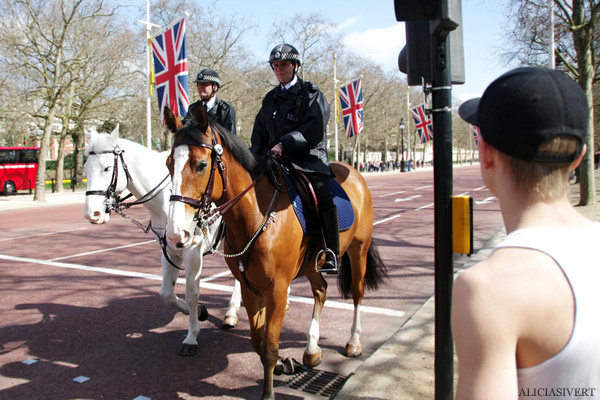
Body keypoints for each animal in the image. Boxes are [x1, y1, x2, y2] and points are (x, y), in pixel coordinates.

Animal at [82, 126, 241, 356]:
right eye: (85, 169)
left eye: (106, 168)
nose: (91, 215)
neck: (166, 201)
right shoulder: (169, 251)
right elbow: (167, 294)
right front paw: (200, 312)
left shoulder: (192, 251)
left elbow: (192, 293)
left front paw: (191, 336)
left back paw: (232, 311)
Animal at [165, 106, 390, 400]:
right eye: (169, 164)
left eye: (201, 165)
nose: (175, 234)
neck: (256, 215)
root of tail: (352, 170)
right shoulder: (250, 287)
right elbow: (258, 341)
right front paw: (284, 365)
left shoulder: (277, 288)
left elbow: (269, 346)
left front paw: (269, 391)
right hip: (310, 264)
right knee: (321, 290)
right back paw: (311, 350)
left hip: (358, 250)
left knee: (357, 292)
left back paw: (353, 342)